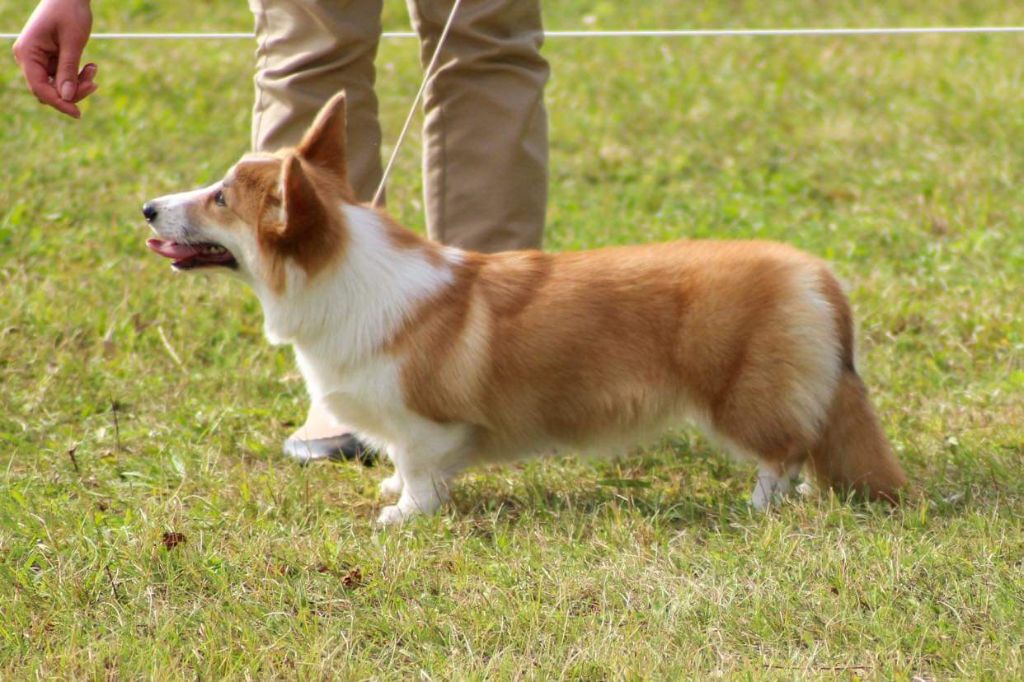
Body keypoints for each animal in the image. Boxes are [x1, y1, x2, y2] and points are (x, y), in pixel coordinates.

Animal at [142, 93, 905, 522]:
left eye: (220, 200)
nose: (147, 207)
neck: (342, 277)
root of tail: (814, 272)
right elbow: (403, 467)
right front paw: (392, 493)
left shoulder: (425, 424)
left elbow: (420, 470)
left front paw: (404, 516)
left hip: (741, 397)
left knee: (785, 451)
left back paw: (761, 504)